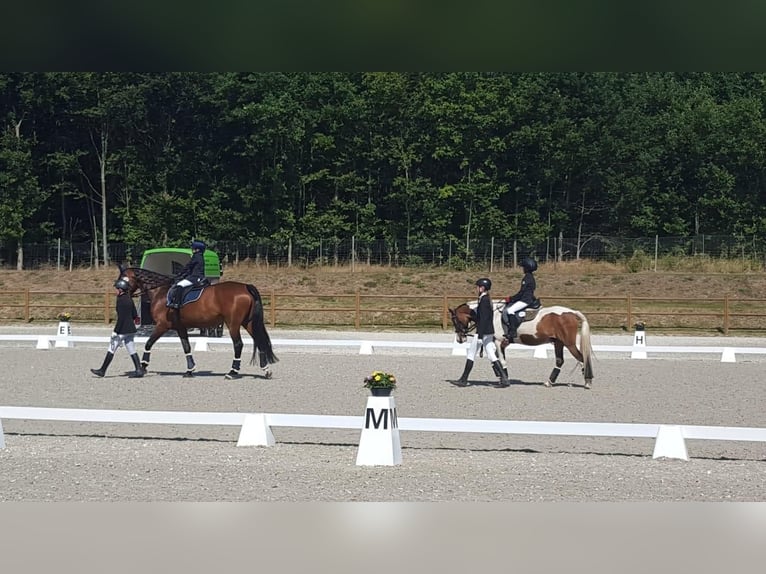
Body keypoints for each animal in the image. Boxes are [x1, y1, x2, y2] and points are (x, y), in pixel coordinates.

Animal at [117, 266, 280, 382]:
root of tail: (245, 286)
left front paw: (142, 367)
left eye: (123, 278)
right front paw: (190, 371)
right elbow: (186, 347)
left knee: (238, 345)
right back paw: (266, 370)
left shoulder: (162, 325)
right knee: (259, 340)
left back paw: (232, 372)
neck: (160, 292)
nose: (119, 291)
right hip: (248, 323)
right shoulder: (180, 327)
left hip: (233, 323)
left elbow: (148, 343)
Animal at [450, 302, 600, 392]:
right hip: (558, 342)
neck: (492, 315)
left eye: (455, 320)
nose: (460, 339)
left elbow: (501, 361)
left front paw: (503, 380)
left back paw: (587, 382)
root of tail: (572, 312)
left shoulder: (498, 342)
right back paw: (549, 382)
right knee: (560, 361)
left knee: (582, 358)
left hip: (569, 344)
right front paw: (502, 377)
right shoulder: (500, 343)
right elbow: (497, 361)